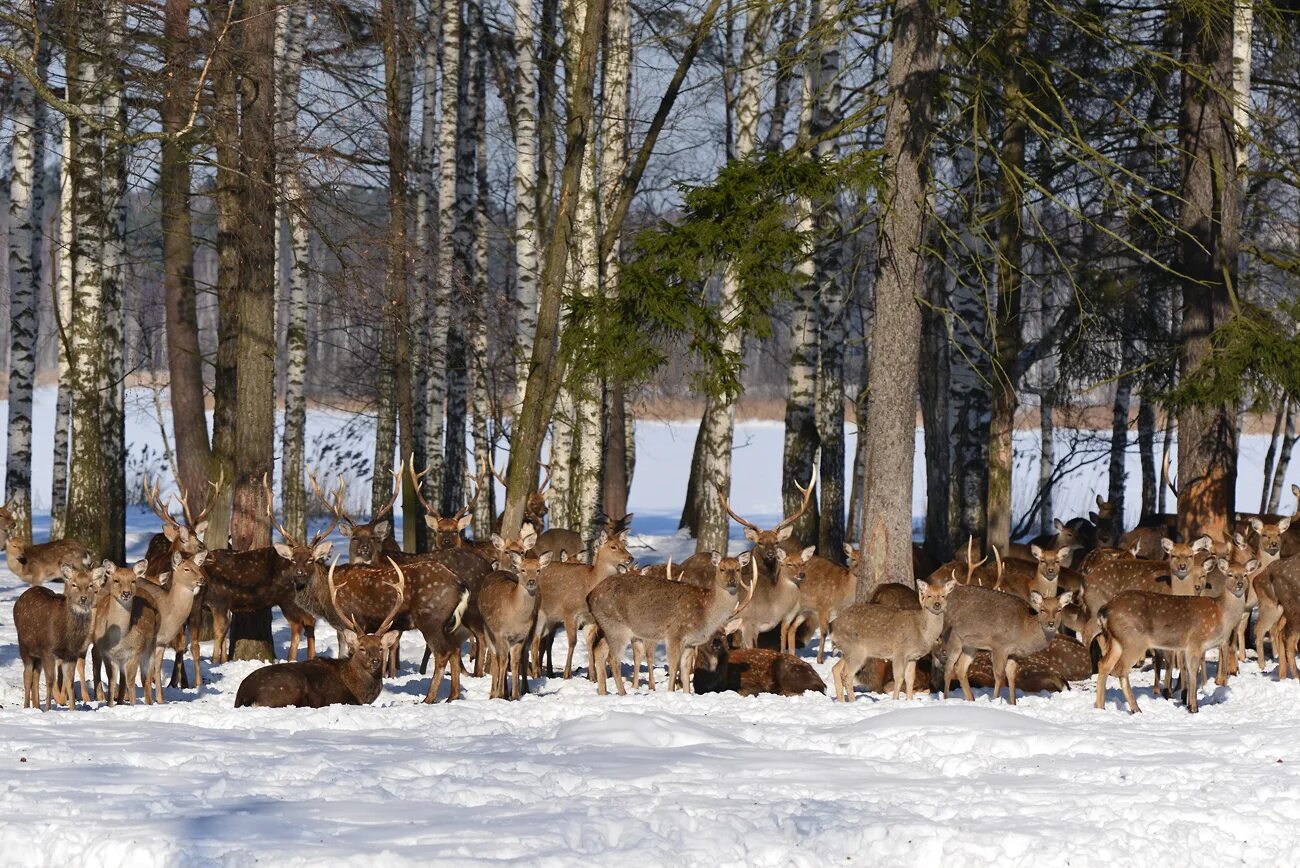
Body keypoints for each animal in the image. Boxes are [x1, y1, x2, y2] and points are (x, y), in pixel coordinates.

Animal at [233, 558, 405, 706]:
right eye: (361, 648)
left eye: (381, 648)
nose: (375, 660)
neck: (361, 691)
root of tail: (243, 695)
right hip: (287, 688)